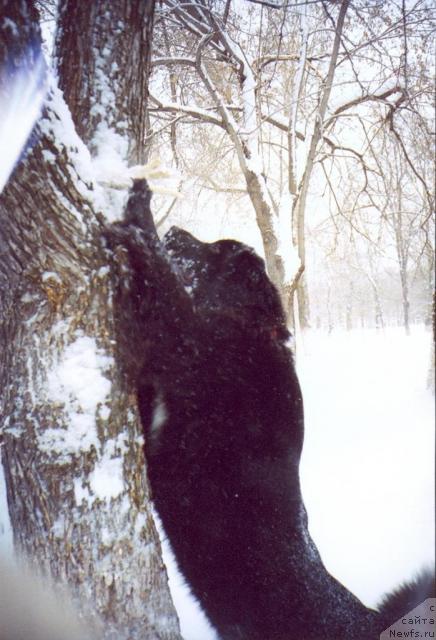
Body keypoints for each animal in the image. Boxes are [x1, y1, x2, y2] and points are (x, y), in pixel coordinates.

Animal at [107, 180, 434, 640]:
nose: (175, 228)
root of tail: (368, 622)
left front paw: (139, 212)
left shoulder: (192, 345)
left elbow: (164, 291)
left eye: (213, 250)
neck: (250, 326)